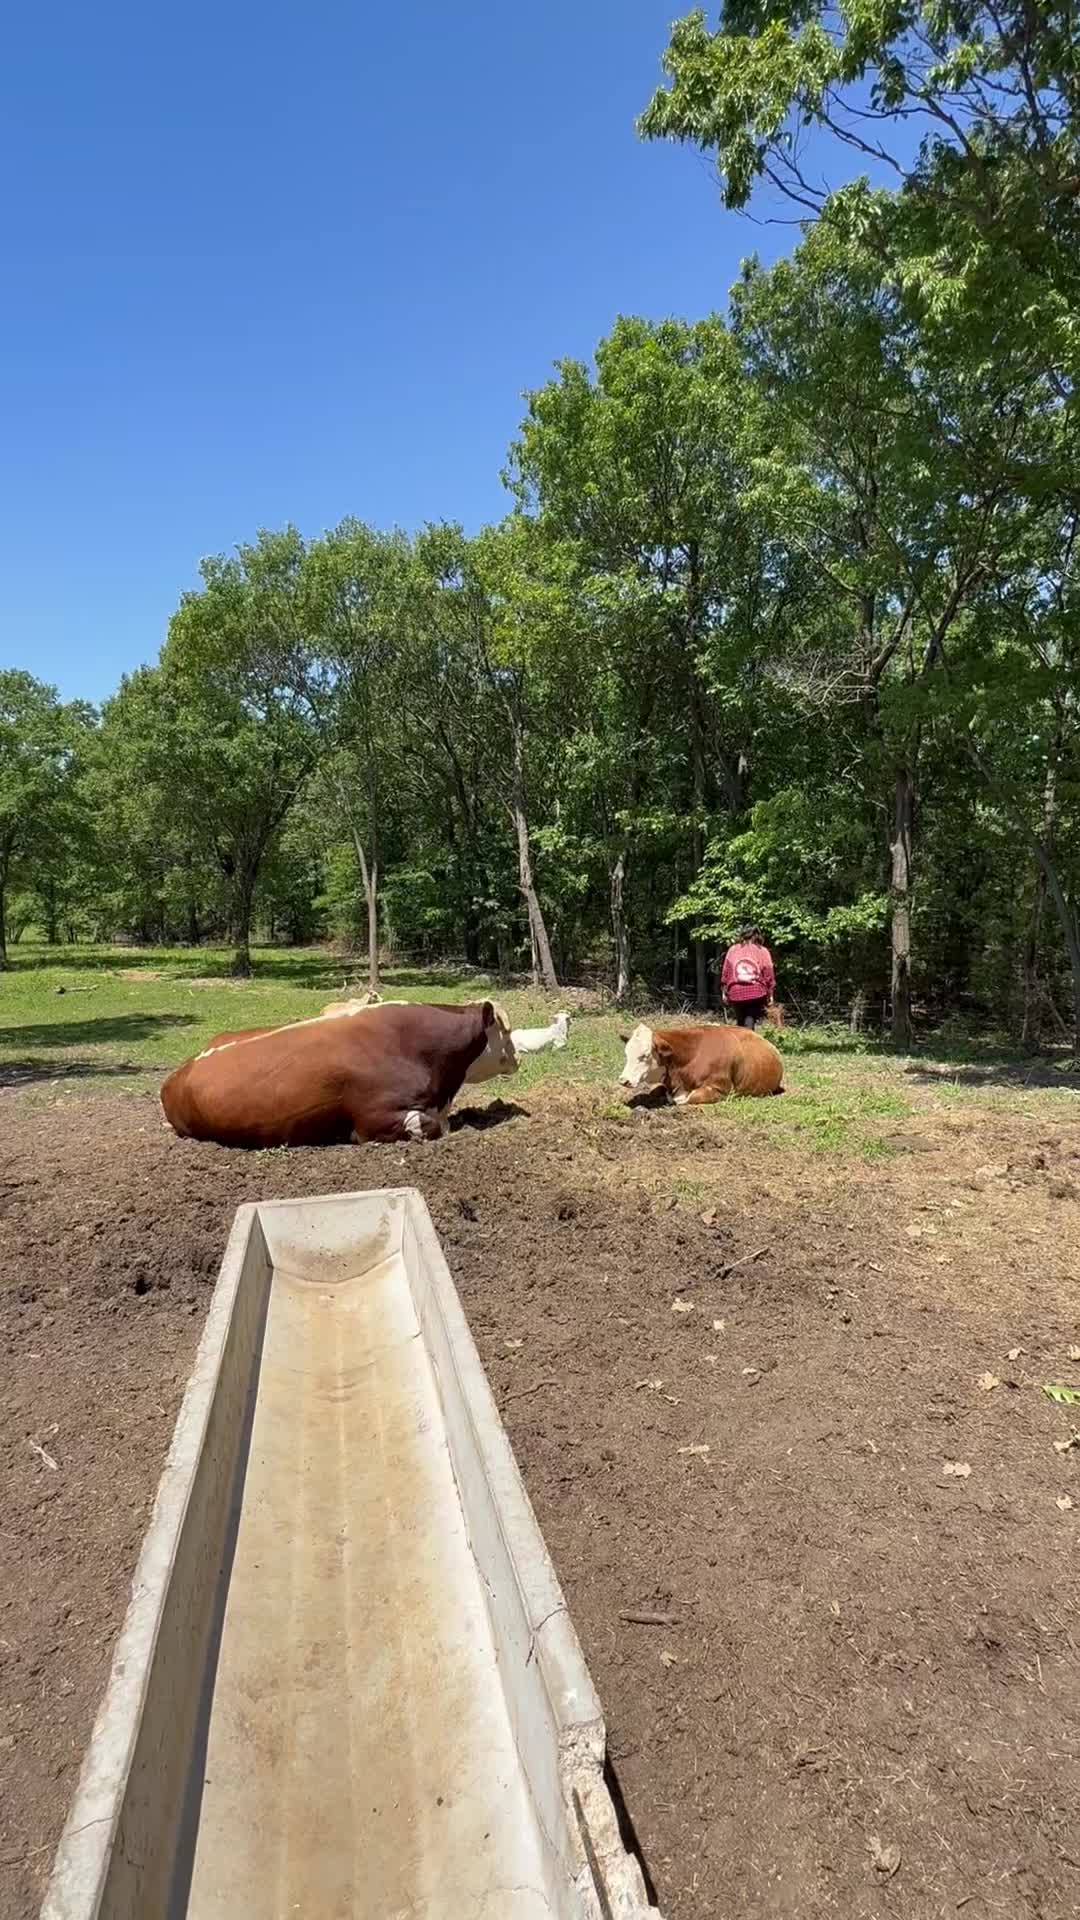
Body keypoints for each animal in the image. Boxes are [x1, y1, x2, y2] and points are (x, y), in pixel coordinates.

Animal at [618, 1022, 784, 1103]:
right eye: (626, 1053)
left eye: (645, 1055)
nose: (623, 1080)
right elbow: (655, 1091)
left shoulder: (720, 1088)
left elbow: (688, 1098)